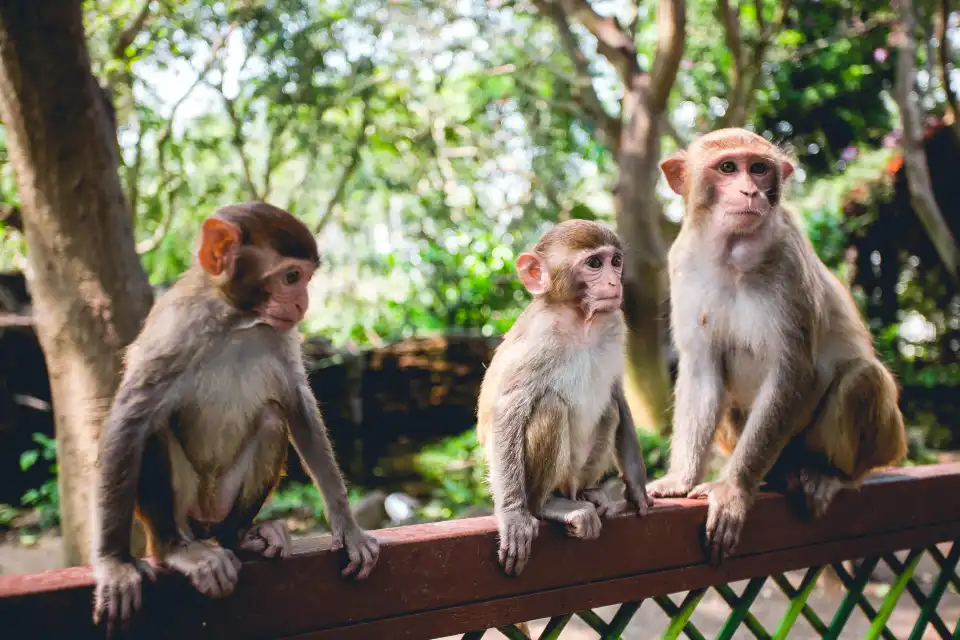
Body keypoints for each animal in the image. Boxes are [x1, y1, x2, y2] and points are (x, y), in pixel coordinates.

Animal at [91, 203, 379, 634]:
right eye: (291, 277)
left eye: (305, 278)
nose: (303, 303)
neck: (236, 321)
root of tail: (204, 521)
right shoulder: (176, 327)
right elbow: (130, 420)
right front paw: (113, 563)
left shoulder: (279, 334)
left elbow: (297, 406)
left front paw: (347, 527)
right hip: (185, 510)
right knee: (153, 428)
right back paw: (176, 550)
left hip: (223, 501)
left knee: (273, 419)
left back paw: (240, 536)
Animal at [476, 219, 654, 578]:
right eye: (595, 264)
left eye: (616, 261)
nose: (614, 282)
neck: (579, 320)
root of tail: (569, 486)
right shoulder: (539, 339)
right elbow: (506, 412)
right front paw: (513, 515)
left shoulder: (614, 322)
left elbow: (617, 393)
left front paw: (637, 486)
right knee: (550, 406)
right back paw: (548, 505)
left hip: (578, 472)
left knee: (610, 410)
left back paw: (590, 494)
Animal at [649, 128, 907, 565]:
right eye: (727, 167)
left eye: (758, 168)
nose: (750, 191)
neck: (732, 253)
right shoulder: (681, 263)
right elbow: (701, 371)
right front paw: (680, 478)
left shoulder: (789, 261)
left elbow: (794, 373)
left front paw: (732, 490)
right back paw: (777, 476)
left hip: (881, 443)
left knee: (864, 378)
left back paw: (830, 476)